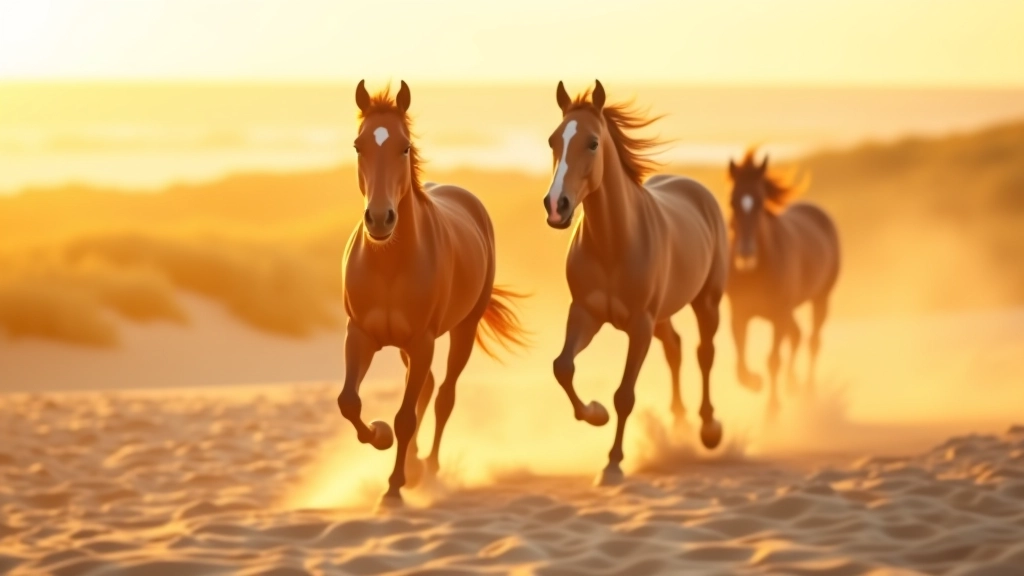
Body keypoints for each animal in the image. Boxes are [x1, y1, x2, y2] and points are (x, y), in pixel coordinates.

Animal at [338, 80, 527, 506]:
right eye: (359, 145)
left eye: (404, 146)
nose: (379, 219)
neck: (389, 265)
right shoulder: (359, 335)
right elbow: (349, 402)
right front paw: (379, 436)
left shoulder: (423, 341)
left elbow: (406, 417)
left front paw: (393, 486)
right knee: (426, 389)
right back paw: (416, 463)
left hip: (463, 331)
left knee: (443, 396)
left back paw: (430, 467)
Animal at [542, 80, 730, 485]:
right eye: (553, 141)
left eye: (592, 142)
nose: (556, 206)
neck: (615, 242)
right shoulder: (585, 314)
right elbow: (563, 367)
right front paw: (595, 413)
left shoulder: (639, 325)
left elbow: (625, 395)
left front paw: (613, 464)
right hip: (662, 316)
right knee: (675, 347)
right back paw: (678, 425)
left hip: (706, 301)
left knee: (703, 352)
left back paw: (709, 430)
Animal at [725, 149, 840, 414]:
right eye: (732, 201)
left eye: (759, 201)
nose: (745, 254)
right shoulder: (739, 314)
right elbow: (740, 364)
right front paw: (755, 382)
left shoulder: (778, 315)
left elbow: (773, 360)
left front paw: (772, 410)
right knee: (797, 336)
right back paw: (793, 385)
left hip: (821, 299)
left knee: (812, 342)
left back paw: (807, 391)